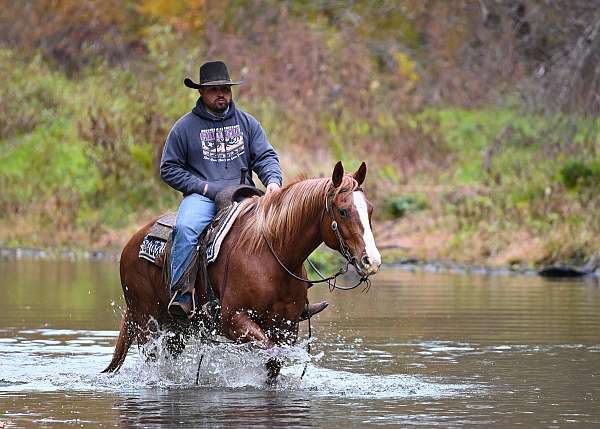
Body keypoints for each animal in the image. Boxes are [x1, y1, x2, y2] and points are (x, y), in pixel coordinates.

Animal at [104, 160, 380, 378]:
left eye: (370, 210)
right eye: (343, 211)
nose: (372, 261)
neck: (273, 254)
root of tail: (130, 244)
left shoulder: (287, 325)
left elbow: (274, 363)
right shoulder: (234, 319)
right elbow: (270, 352)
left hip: (175, 328)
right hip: (147, 323)